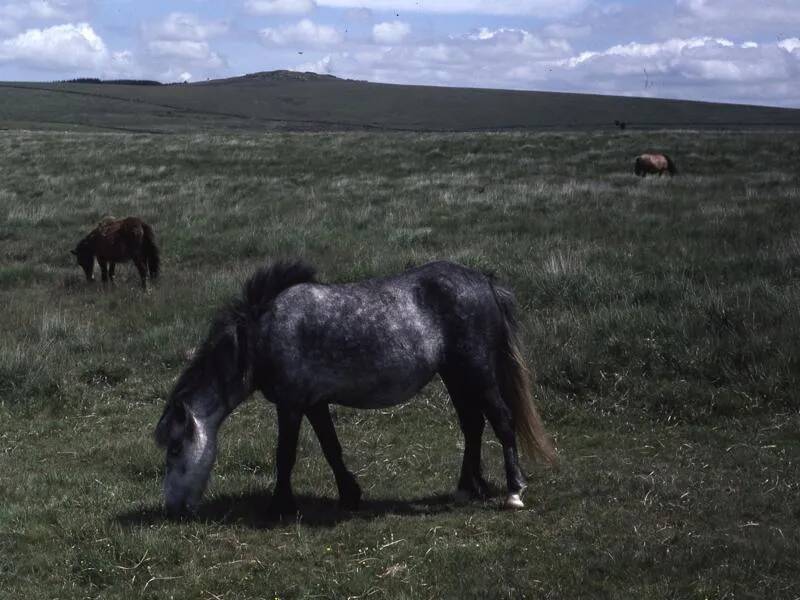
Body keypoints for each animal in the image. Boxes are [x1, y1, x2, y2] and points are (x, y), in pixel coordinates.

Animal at [155, 260, 556, 516]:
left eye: (175, 448)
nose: (172, 507)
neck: (261, 335)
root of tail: (483, 281)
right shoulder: (313, 403)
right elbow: (331, 448)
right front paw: (349, 494)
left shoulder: (290, 405)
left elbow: (285, 455)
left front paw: (279, 506)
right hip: (456, 378)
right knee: (472, 426)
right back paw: (466, 489)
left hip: (478, 373)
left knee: (502, 421)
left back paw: (513, 492)